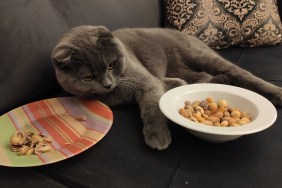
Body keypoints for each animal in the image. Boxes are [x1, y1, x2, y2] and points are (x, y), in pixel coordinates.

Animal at [51, 25, 282, 151]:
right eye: (88, 76)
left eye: (111, 65)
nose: (107, 83)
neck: (116, 92)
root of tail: (188, 34)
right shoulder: (155, 80)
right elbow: (167, 85)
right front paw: (176, 85)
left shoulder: (146, 81)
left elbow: (153, 107)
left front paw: (157, 136)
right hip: (187, 67)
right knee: (204, 77)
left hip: (200, 55)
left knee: (242, 73)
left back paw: (277, 93)